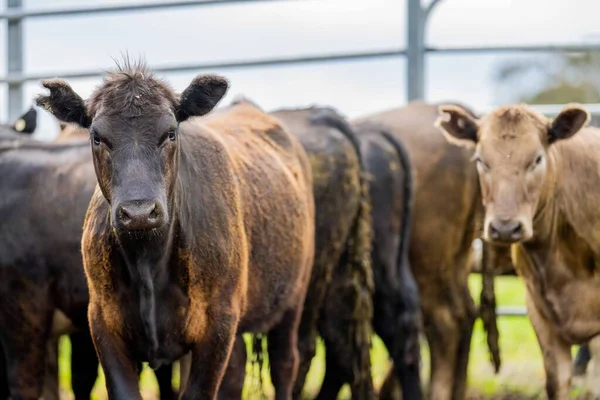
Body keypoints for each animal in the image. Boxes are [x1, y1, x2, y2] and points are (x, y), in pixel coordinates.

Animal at [38, 60, 316, 400]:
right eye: (97, 137)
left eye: (170, 133)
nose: (139, 212)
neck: (149, 263)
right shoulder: (103, 322)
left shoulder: (218, 325)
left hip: (293, 299)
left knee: (285, 364)